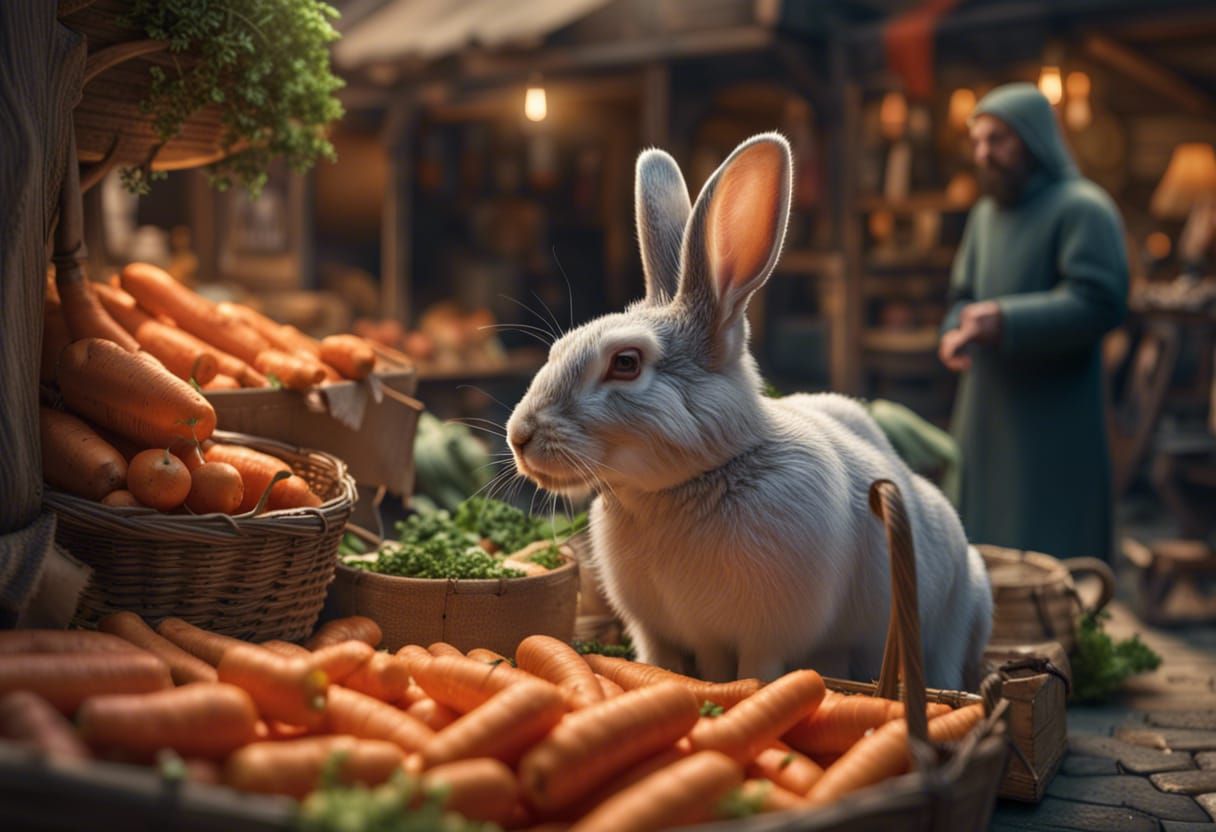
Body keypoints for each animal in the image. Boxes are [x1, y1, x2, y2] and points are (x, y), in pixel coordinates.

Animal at [506, 133, 992, 689]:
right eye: (559, 347)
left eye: (625, 363)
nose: (518, 435)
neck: (685, 485)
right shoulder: (658, 632)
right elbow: (666, 666)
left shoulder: (767, 637)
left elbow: (755, 674)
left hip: (956, 616)